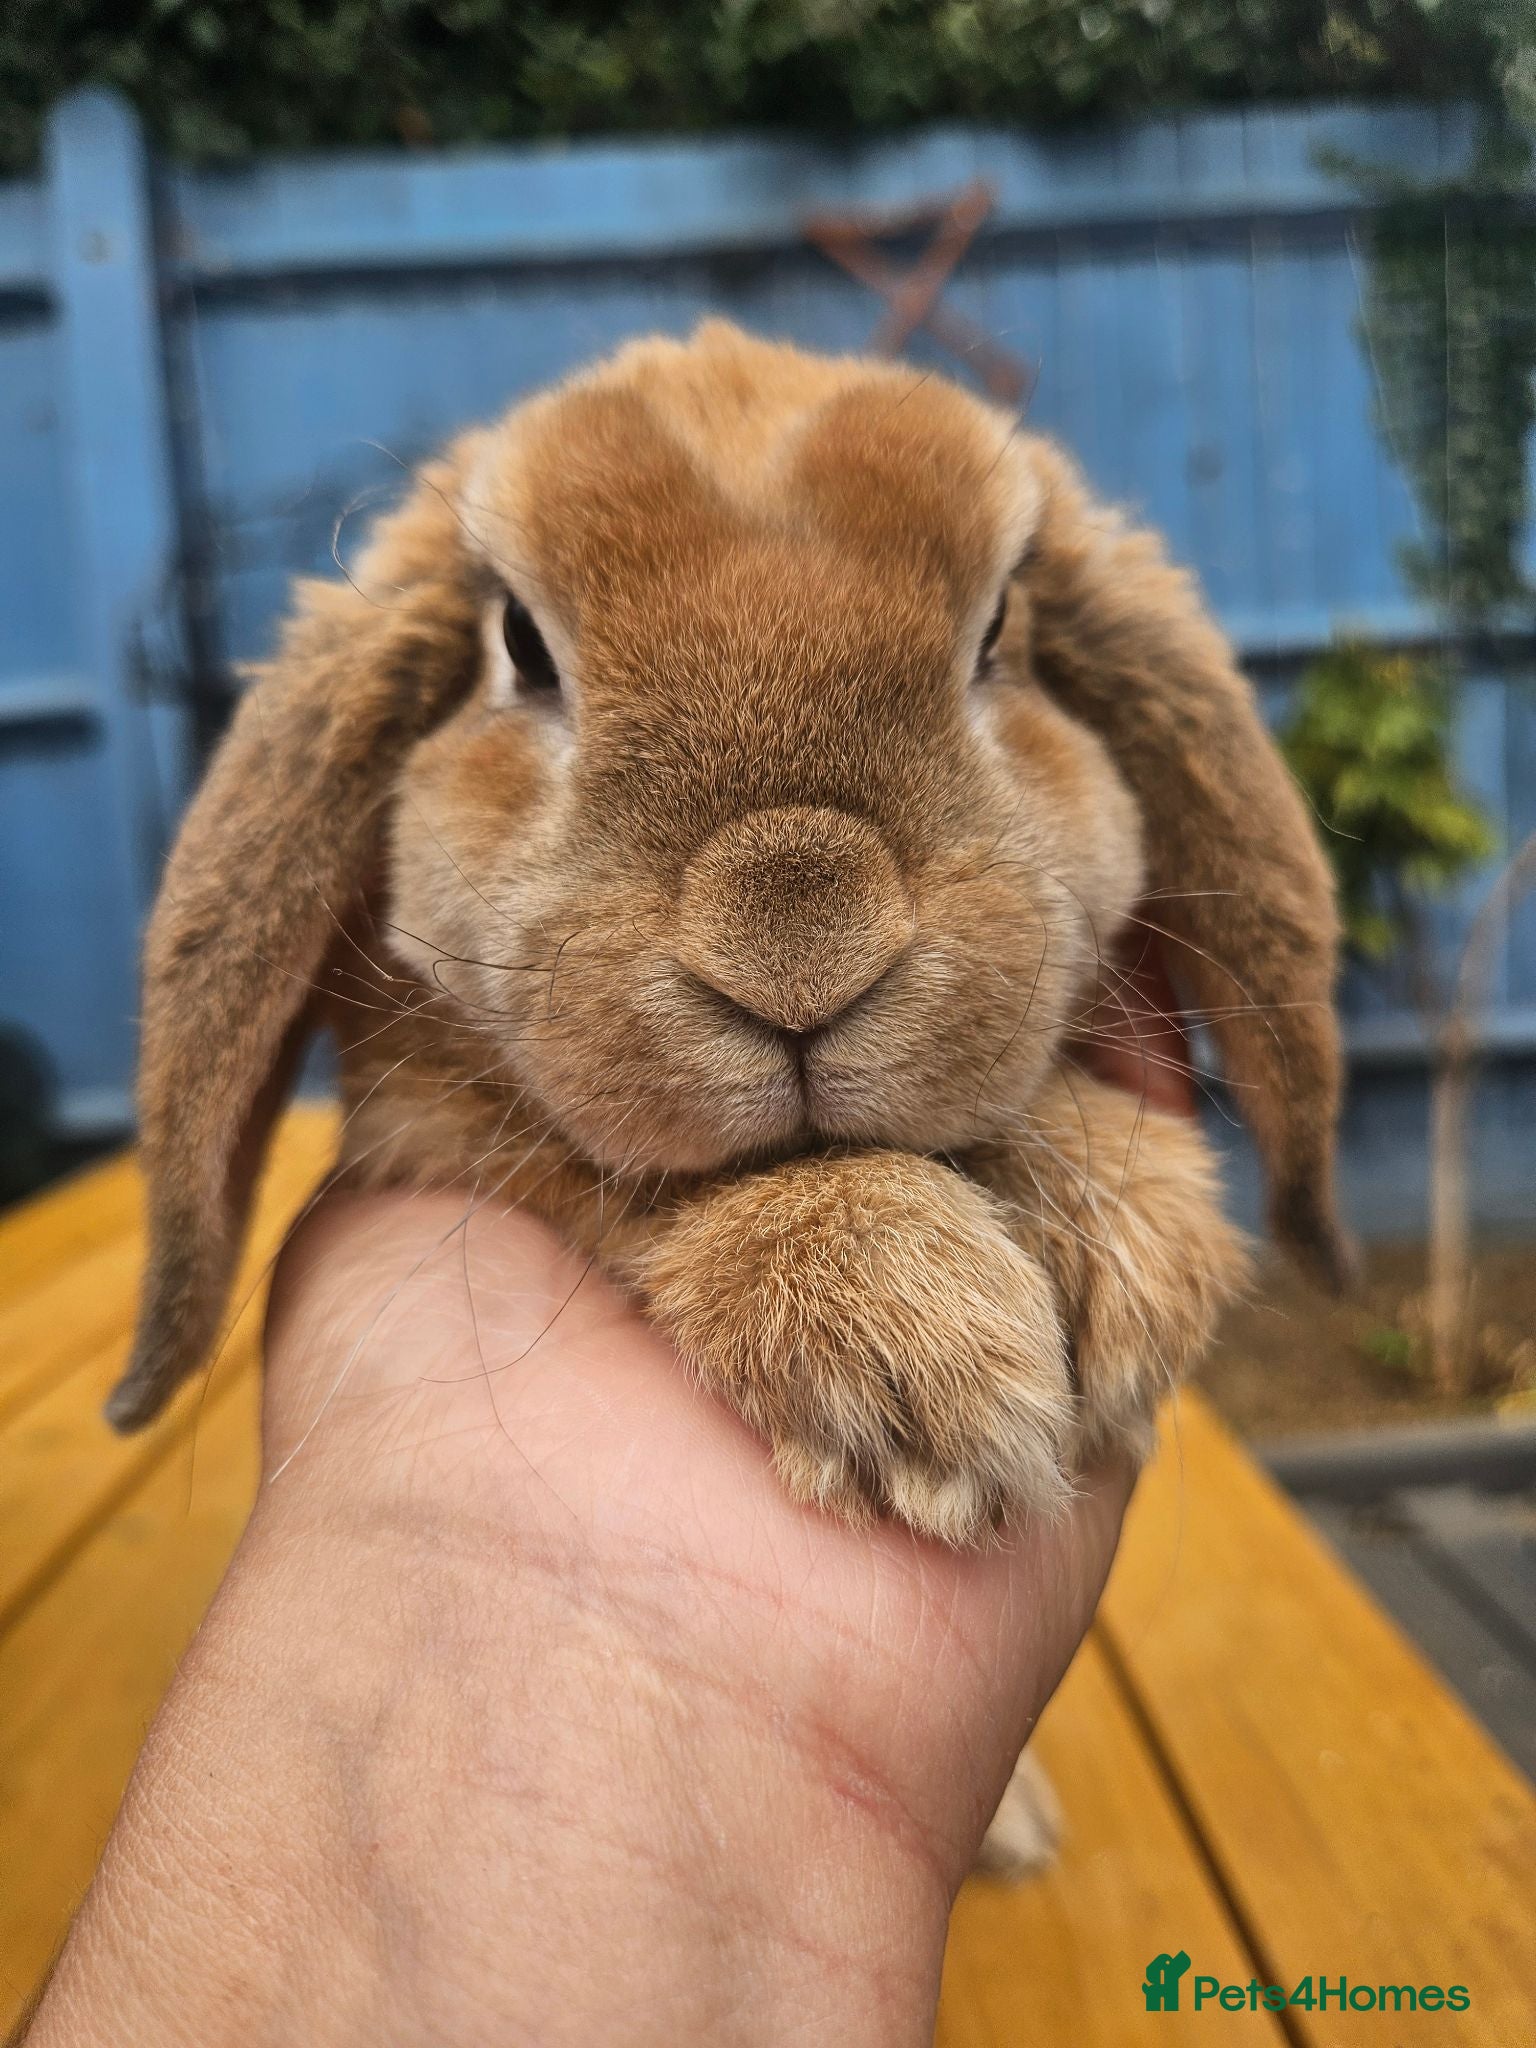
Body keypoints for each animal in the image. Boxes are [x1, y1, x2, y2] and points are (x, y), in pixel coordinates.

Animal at [107, 320, 1348, 1862]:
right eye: (521, 645)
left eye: (1001, 629)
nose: (796, 937)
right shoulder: (445, 1125)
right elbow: (618, 1172)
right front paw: (916, 1339)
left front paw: (1127, 1251)